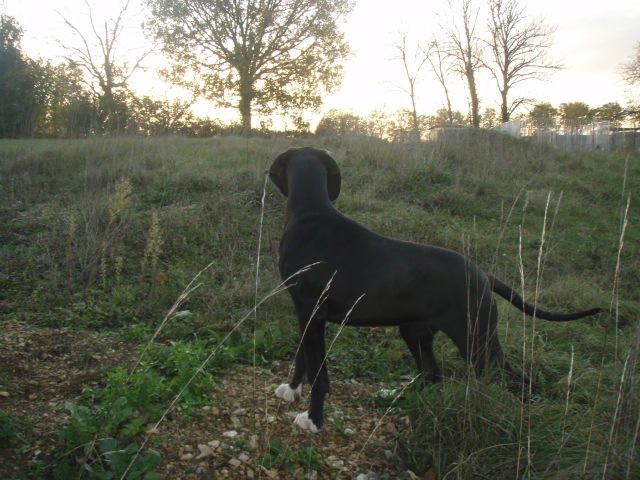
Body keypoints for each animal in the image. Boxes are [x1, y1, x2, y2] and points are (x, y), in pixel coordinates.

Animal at [268, 145, 600, 432]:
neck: (311, 213)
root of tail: (484, 276)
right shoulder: (306, 313)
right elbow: (304, 356)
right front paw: (293, 389)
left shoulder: (312, 310)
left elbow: (318, 370)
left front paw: (313, 418)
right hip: (416, 332)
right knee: (432, 374)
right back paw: (395, 396)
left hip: (477, 341)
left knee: (518, 381)